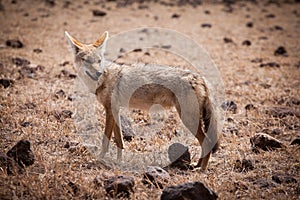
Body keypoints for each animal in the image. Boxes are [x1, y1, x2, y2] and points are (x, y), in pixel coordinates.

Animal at [65, 30, 220, 169]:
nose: (98, 72)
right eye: (86, 60)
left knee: (207, 142)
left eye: (99, 60)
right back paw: (197, 165)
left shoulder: (109, 110)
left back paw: (202, 169)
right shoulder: (114, 110)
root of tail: (199, 77)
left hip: (188, 119)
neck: (103, 79)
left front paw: (99, 160)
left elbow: (105, 141)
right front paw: (119, 162)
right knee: (205, 143)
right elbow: (119, 141)